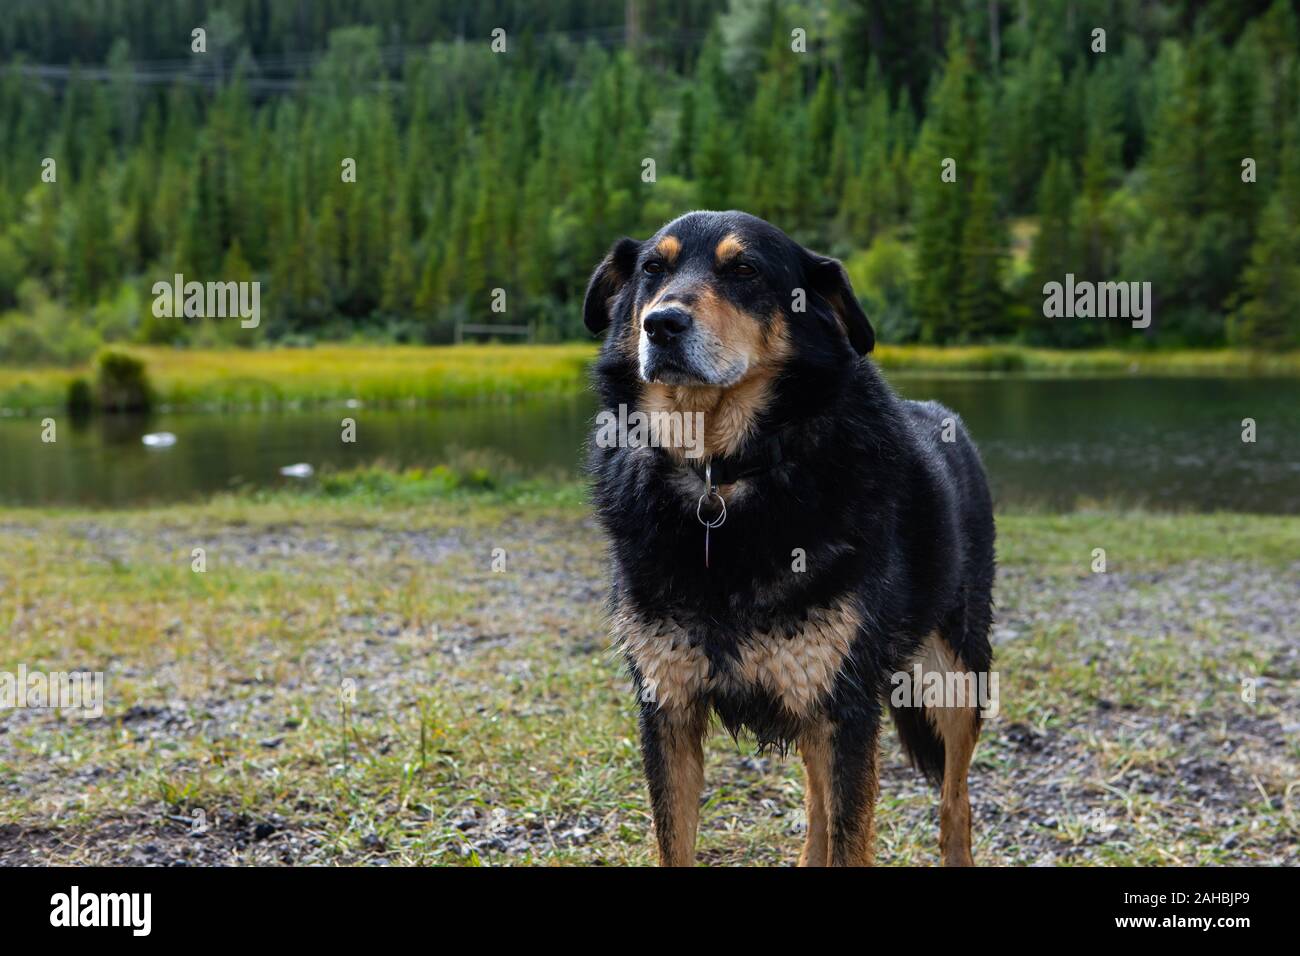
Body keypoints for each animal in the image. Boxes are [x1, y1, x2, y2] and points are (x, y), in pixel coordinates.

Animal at [587, 209, 993, 868]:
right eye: (652, 268)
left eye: (745, 270)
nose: (661, 324)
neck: (721, 476)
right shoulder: (668, 707)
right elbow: (678, 841)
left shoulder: (846, 707)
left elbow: (853, 837)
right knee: (817, 802)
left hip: (955, 672)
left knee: (954, 800)